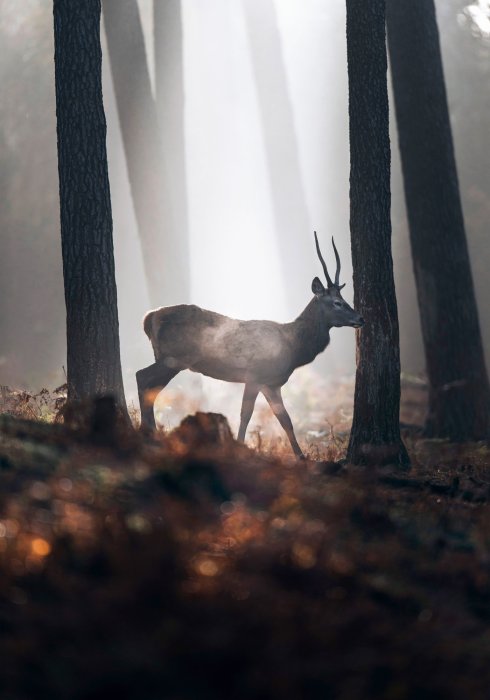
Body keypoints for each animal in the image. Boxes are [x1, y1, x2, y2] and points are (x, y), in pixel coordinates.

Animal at [136, 233, 364, 459]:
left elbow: (286, 420)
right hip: (175, 357)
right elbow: (246, 414)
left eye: (343, 299)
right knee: (142, 377)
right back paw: (148, 434)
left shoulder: (271, 383)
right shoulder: (255, 374)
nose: (360, 318)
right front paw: (239, 448)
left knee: (150, 387)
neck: (293, 347)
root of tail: (149, 317)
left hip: (169, 358)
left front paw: (301, 457)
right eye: (337, 302)